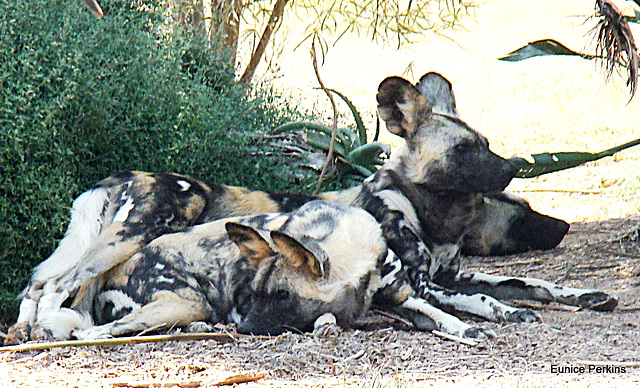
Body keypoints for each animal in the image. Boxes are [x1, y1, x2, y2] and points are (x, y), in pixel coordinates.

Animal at [28, 200, 496, 340]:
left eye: (283, 295)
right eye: (253, 294)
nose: (245, 327)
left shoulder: (400, 294)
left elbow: (435, 310)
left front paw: (465, 327)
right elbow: (325, 318)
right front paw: (327, 322)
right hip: (186, 300)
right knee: (97, 331)